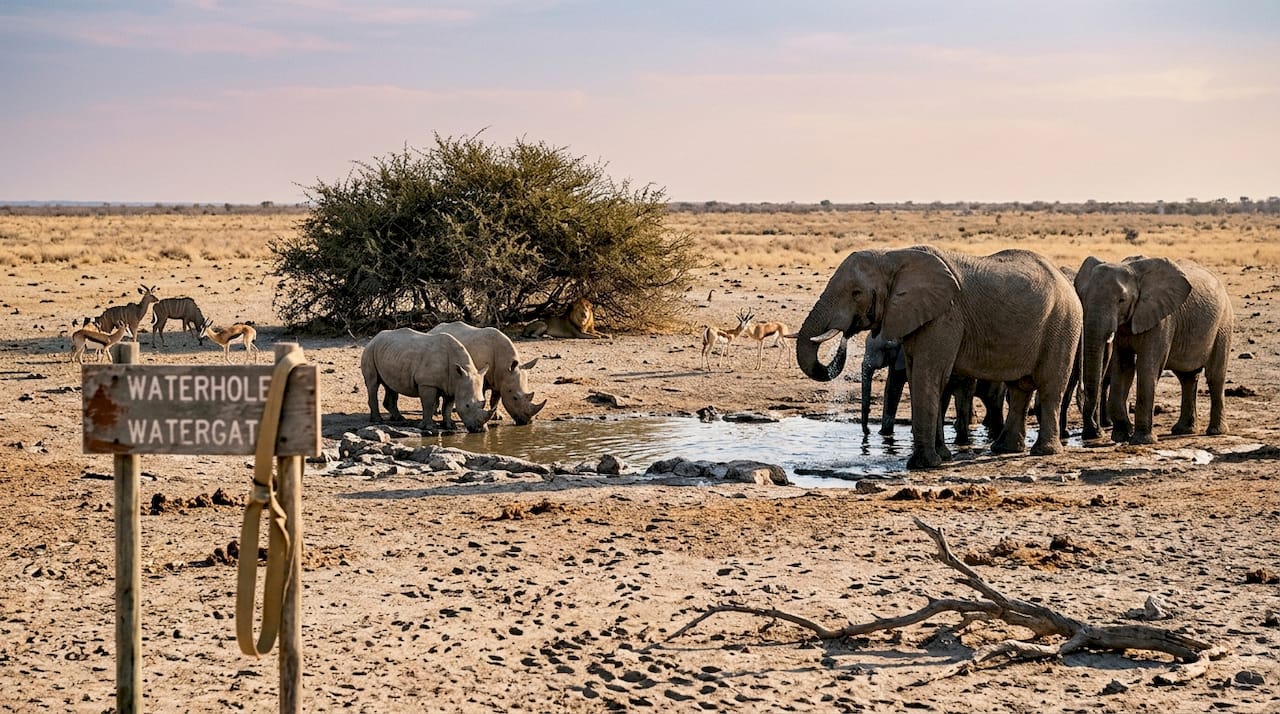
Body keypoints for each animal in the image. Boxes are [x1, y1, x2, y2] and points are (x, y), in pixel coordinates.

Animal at [360, 328, 495, 432]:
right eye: (467, 405)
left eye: (483, 403)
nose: (479, 429)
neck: (460, 374)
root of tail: (375, 337)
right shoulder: (427, 383)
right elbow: (428, 404)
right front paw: (428, 427)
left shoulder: (453, 386)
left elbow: (447, 407)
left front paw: (450, 426)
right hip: (370, 350)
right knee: (373, 384)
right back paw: (378, 420)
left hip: (388, 352)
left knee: (390, 386)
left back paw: (400, 419)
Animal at [796, 246, 1082, 469]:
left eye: (856, 293)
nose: (845, 335)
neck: (893, 257)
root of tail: (1066, 280)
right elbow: (920, 378)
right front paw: (942, 457)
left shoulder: (945, 316)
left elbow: (928, 375)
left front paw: (922, 465)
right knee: (1020, 389)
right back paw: (1005, 449)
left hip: (1063, 324)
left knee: (1049, 387)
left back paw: (1043, 451)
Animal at [1076, 256, 1233, 444]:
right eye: (1082, 297)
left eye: (1121, 300)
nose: (1093, 432)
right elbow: (1123, 368)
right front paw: (1121, 436)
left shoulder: (1162, 320)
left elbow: (1146, 367)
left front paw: (1141, 440)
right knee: (1187, 377)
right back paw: (1183, 430)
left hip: (1223, 323)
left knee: (1215, 376)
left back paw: (1215, 432)